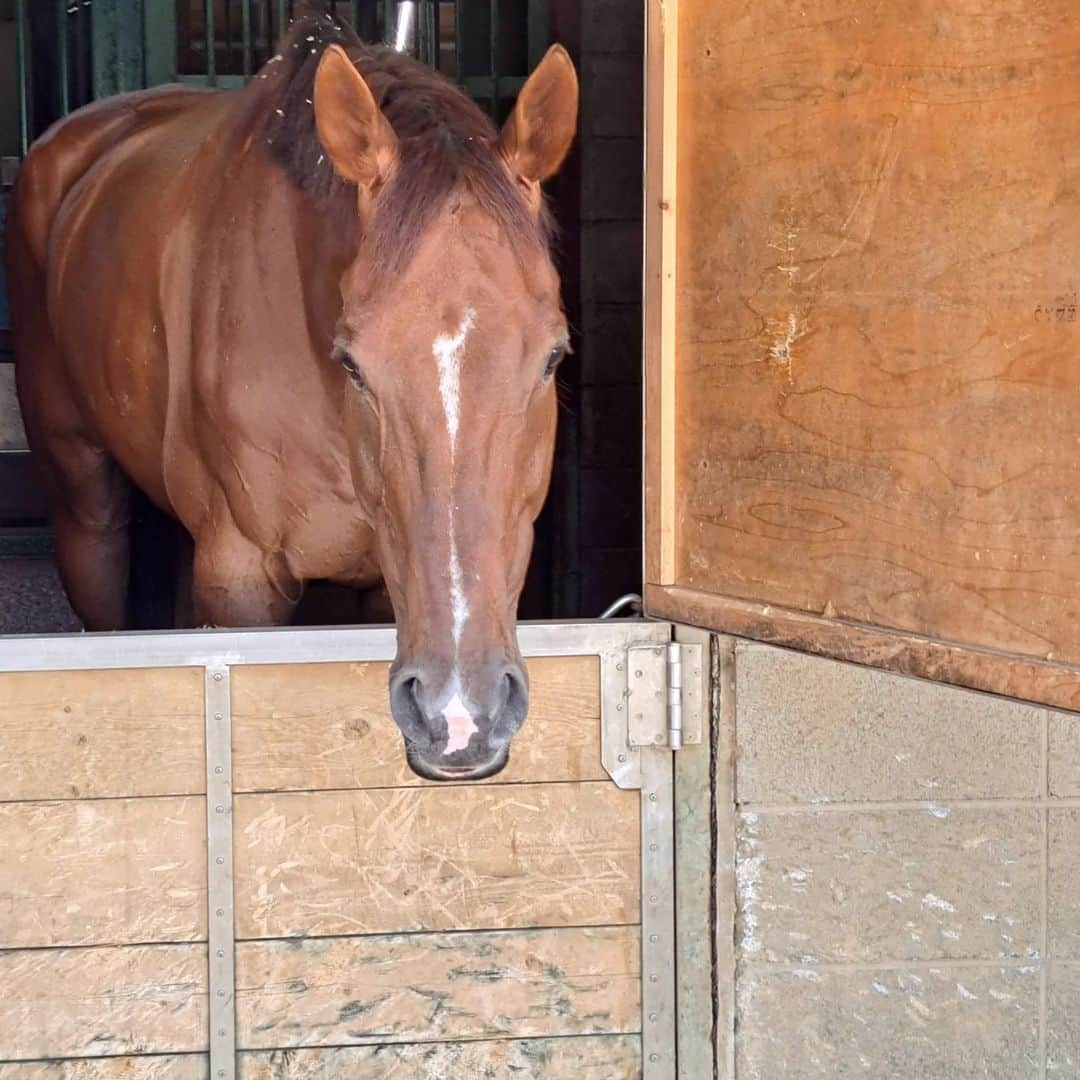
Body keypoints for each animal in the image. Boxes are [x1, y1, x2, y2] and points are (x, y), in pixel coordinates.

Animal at [4, 12, 578, 781]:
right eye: (353, 363)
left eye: (552, 356)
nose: (461, 716)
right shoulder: (241, 581)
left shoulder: (386, 589)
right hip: (82, 492)